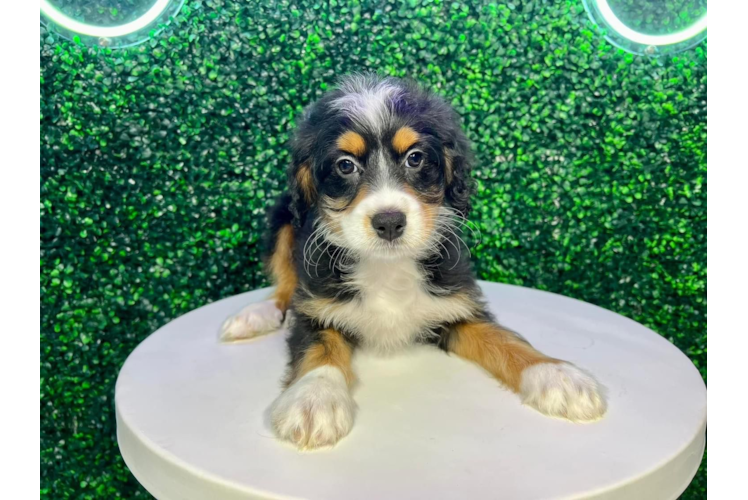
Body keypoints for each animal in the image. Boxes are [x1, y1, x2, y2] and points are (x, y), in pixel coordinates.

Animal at [221, 74, 608, 450]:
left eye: (415, 158)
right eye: (345, 165)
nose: (390, 221)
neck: (387, 267)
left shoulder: (458, 306)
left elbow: (504, 339)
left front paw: (558, 376)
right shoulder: (314, 305)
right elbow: (319, 349)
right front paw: (314, 400)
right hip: (283, 219)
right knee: (284, 283)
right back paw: (254, 316)